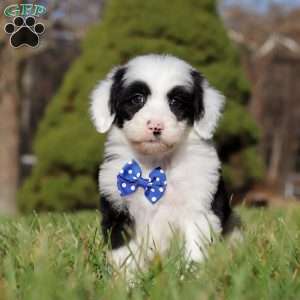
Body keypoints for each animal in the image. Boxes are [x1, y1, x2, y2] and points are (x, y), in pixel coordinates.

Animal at [90, 54, 233, 274]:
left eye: (176, 101)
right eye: (137, 99)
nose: (156, 126)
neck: (156, 165)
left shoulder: (198, 206)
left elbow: (195, 247)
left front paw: (192, 277)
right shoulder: (118, 207)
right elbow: (124, 252)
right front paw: (128, 280)